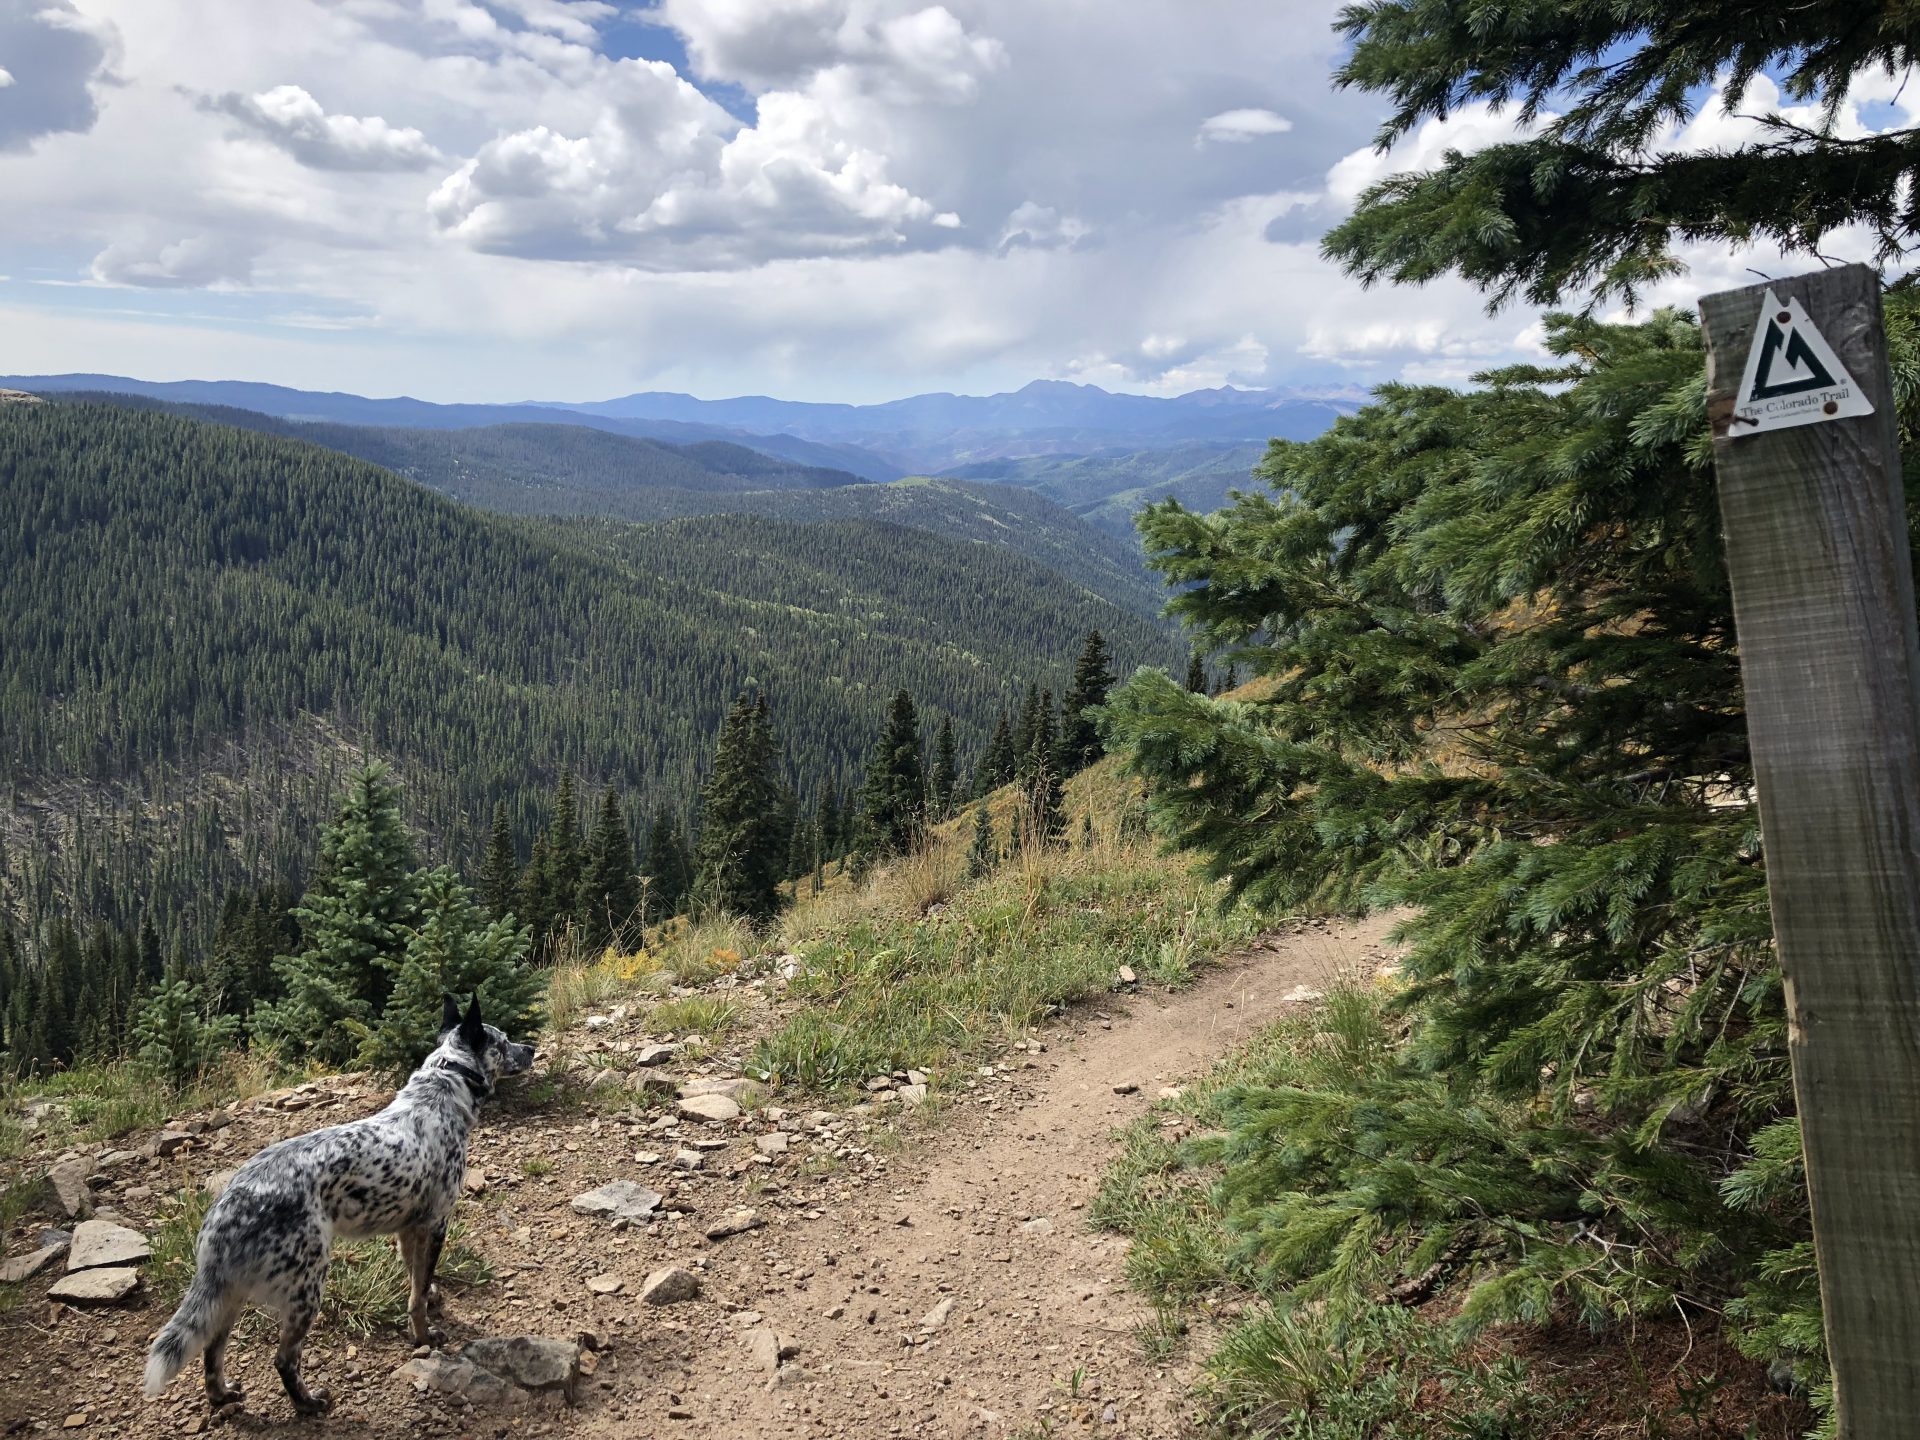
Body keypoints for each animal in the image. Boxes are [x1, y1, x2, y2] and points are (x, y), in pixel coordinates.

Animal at [143, 998, 537, 1413]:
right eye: (504, 1040)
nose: (532, 1048)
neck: (441, 1089)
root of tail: (227, 1208)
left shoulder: (407, 1229)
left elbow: (416, 1281)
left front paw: (429, 1298)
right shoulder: (435, 1224)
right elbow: (416, 1299)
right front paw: (424, 1337)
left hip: (229, 1294)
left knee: (211, 1349)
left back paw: (222, 1394)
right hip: (307, 1287)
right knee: (283, 1359)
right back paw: (309, 1403)